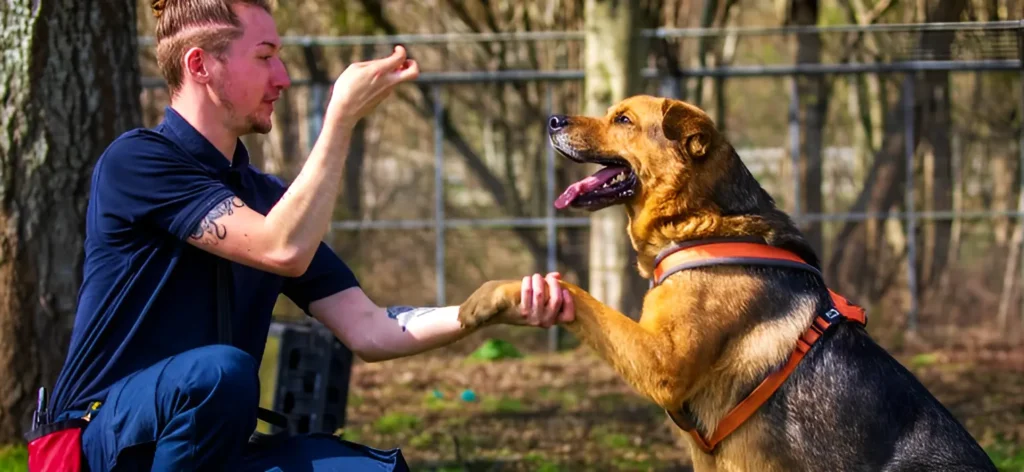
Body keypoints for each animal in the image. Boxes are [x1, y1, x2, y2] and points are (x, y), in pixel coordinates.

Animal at [458, 93, 999, 468]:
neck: (700, 224)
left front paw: (489, 298)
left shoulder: (663, 366)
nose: (552, 120)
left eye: (623, 119)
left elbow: (577, 293)